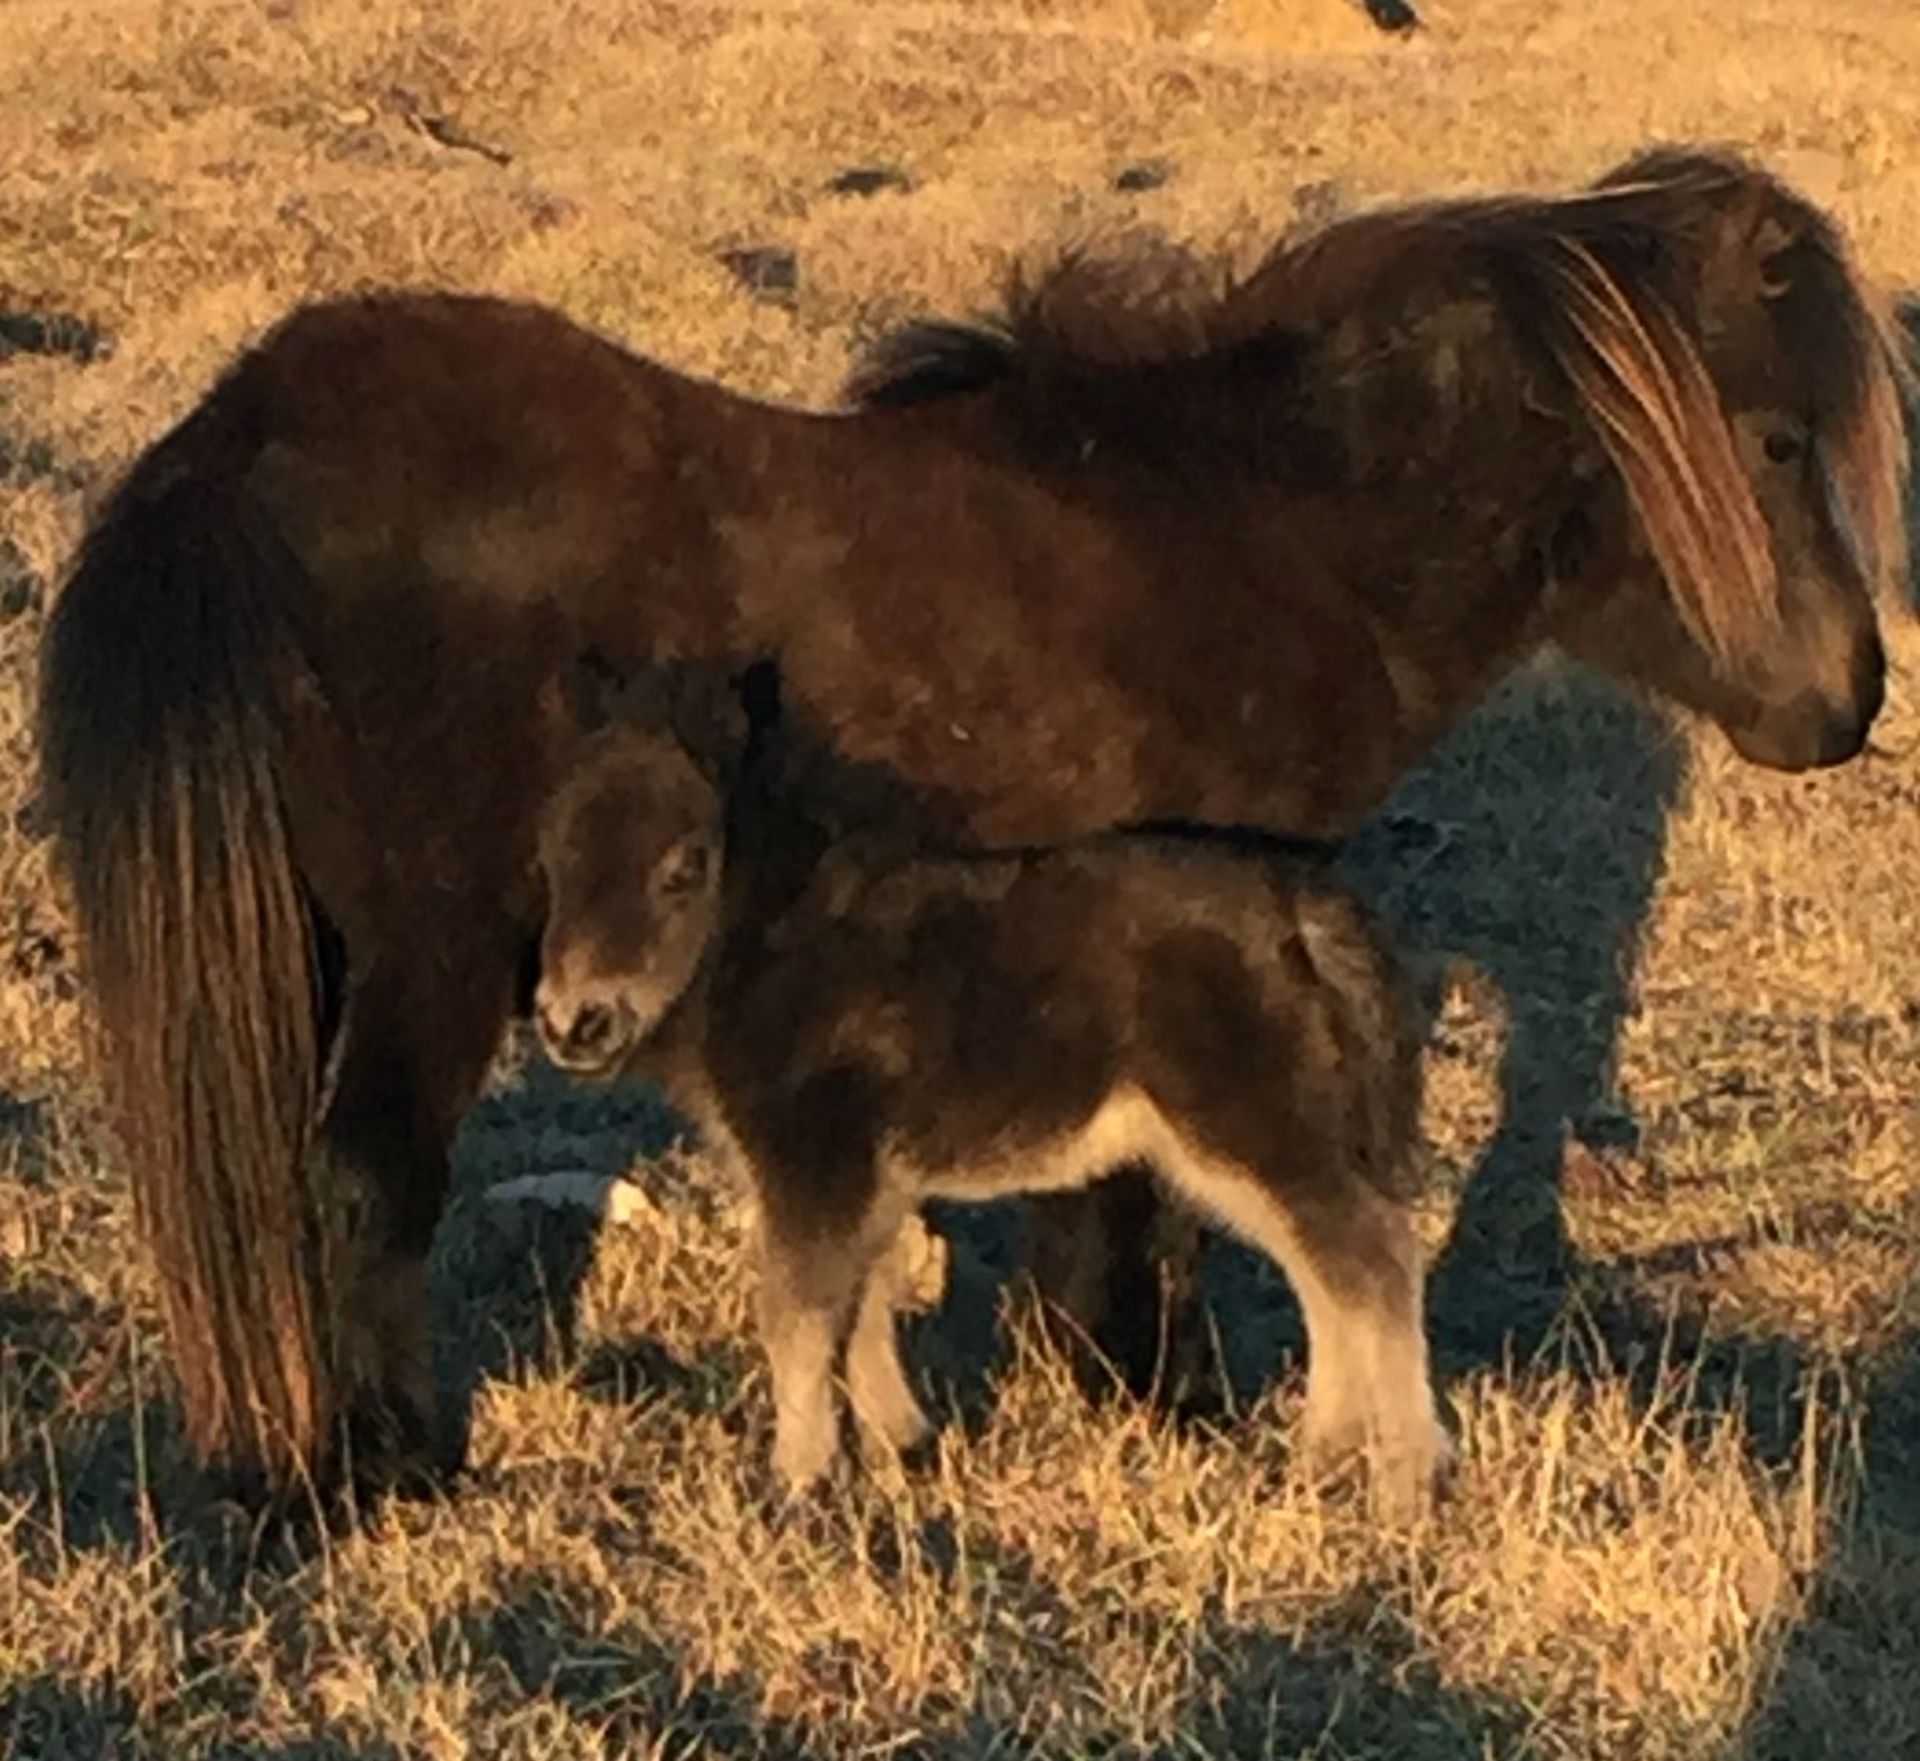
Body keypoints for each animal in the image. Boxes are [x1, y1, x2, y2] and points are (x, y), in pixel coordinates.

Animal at [533, 695, 1443, 1520]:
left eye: (682, 868)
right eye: (552, 862)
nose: (574, 1021)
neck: (770, 934)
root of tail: (1300, 907)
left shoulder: (816, 1165)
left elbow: (797, 1312)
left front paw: (796, 1484)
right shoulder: (866, 1178)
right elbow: (864, 1298)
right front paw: (903, 1446)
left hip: (1253, 1129)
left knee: (1374, 1257)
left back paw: (1403, 1490)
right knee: (1325, 1269)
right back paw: (1321, 1462)